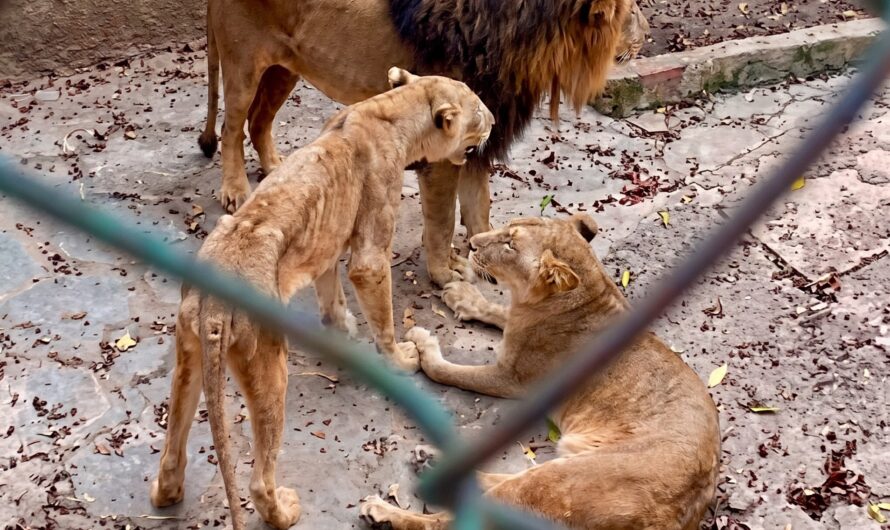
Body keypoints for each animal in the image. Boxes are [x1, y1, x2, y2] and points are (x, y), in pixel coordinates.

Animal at [149, 69, 493, 530]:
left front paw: (340, 328)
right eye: (479, 110)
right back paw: (284, 511)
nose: (495, 119)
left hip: (188, 353)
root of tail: (216, 308)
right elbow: (380, 310)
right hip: (267, 363)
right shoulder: (369, 251)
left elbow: (331, 294)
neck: (392, 111)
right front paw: (402, 358)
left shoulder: (328, 240)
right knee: (259, 478)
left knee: (173, 448)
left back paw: (167, 491)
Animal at [198, 0, 649, 287]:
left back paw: (277, 169)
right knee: (233, 127)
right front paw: (444, 273)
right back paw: (235, 190)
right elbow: (443, 220)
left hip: (285, 68)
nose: (646, 34)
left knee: (259, 121)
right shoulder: (444, 151)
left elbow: (479, 207)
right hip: (243, 65)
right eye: (631, 10)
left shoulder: (478, 144)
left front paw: (489, 256)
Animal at [360, 214, 721, 530]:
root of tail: (681, 513)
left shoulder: (513, 379)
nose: (472, 244)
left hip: (562, 481)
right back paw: (432, 460)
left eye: (510, 245)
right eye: (506, 228)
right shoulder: (517, 324)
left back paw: (383, 512)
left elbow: (446, 372)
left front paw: (424, 346)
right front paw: (463, 296)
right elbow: (497, 310)